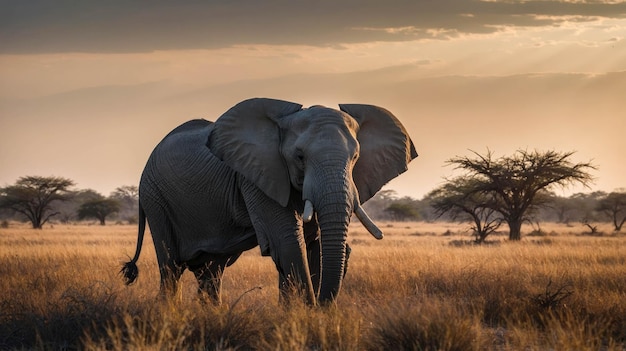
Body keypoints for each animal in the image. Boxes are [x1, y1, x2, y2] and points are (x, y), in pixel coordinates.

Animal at [120, 97, 416, 306]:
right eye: (299, 157)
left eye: (355, 158)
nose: (322, 304)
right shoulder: (256, 175)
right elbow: (288, 243)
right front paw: (305, 312)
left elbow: (313, 243)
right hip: (155, 198)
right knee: (171, 267)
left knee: (212, 271)